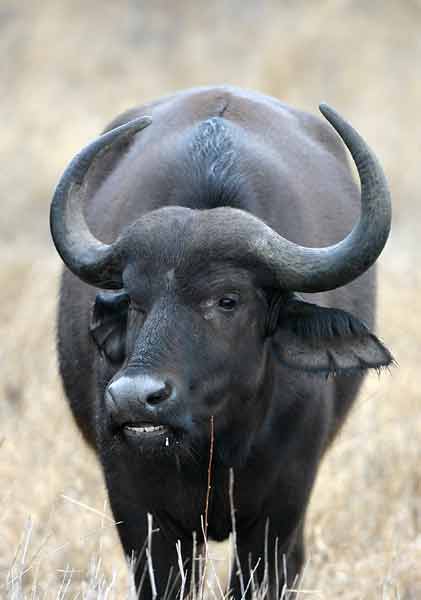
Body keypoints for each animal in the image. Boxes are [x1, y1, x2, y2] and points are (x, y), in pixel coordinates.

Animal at [50, 86, 392, 596]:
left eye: (227, 300)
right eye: (135, 300)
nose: (133, 398)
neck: (215, 443)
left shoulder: (279, 512)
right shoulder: (140, 513)